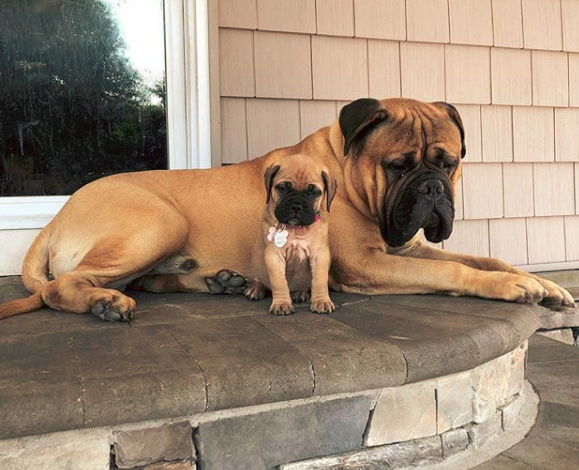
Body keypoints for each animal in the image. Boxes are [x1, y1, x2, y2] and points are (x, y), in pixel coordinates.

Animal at [246, 155, 338, 316]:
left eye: (314, 192)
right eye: (283, 188)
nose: (296, 206)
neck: (297, 229)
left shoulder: (320, 255)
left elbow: (320, 281)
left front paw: (322, 301)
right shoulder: (274, 256)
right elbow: (279, 282)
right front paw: (282, 304)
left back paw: (299, 292)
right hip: (257, 265)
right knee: (260, 279)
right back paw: (256, 288)